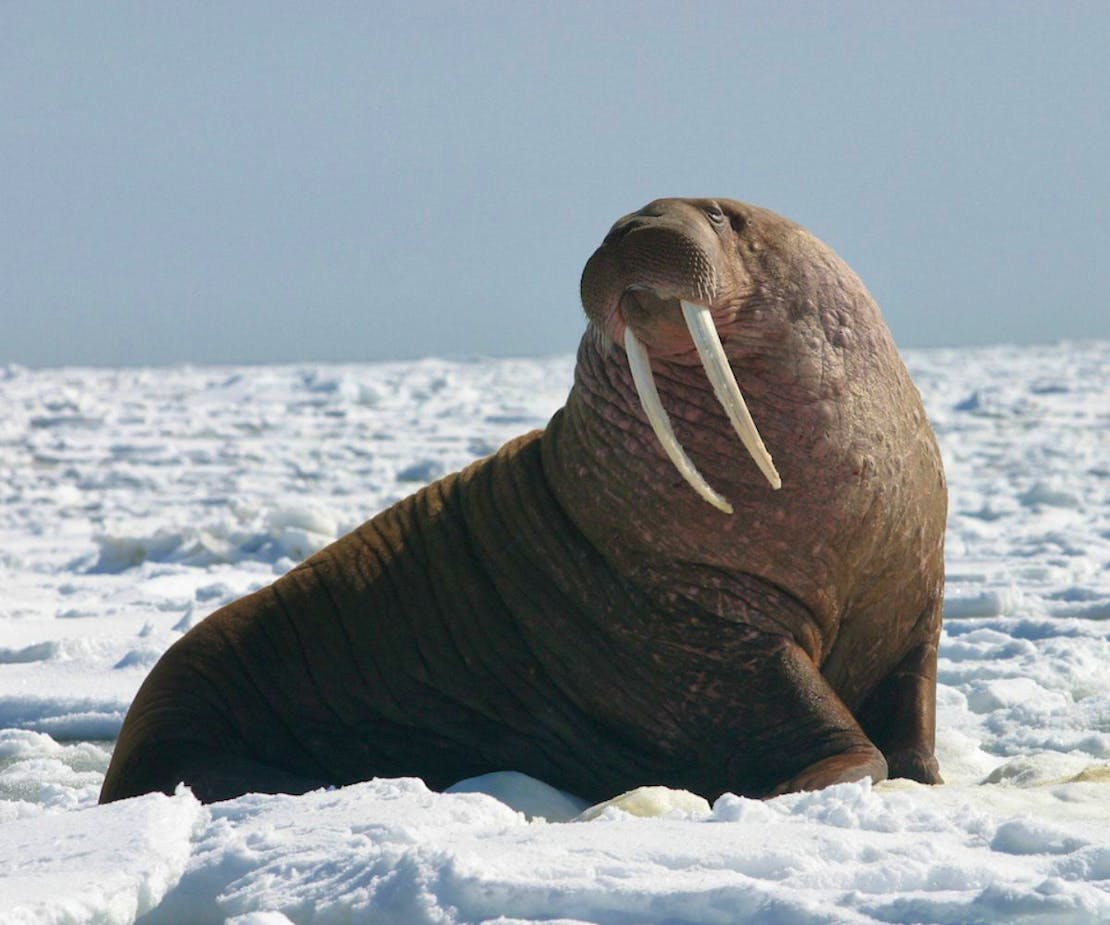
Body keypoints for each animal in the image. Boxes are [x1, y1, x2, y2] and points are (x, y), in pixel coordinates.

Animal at [99, 198, 945, 803]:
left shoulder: (914, 600)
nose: (634, 228)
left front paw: (931, 778)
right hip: (186, 726)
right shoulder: (703, 629)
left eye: (722, 216)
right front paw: (807, 781)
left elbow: (913, 703)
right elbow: (815, 717)